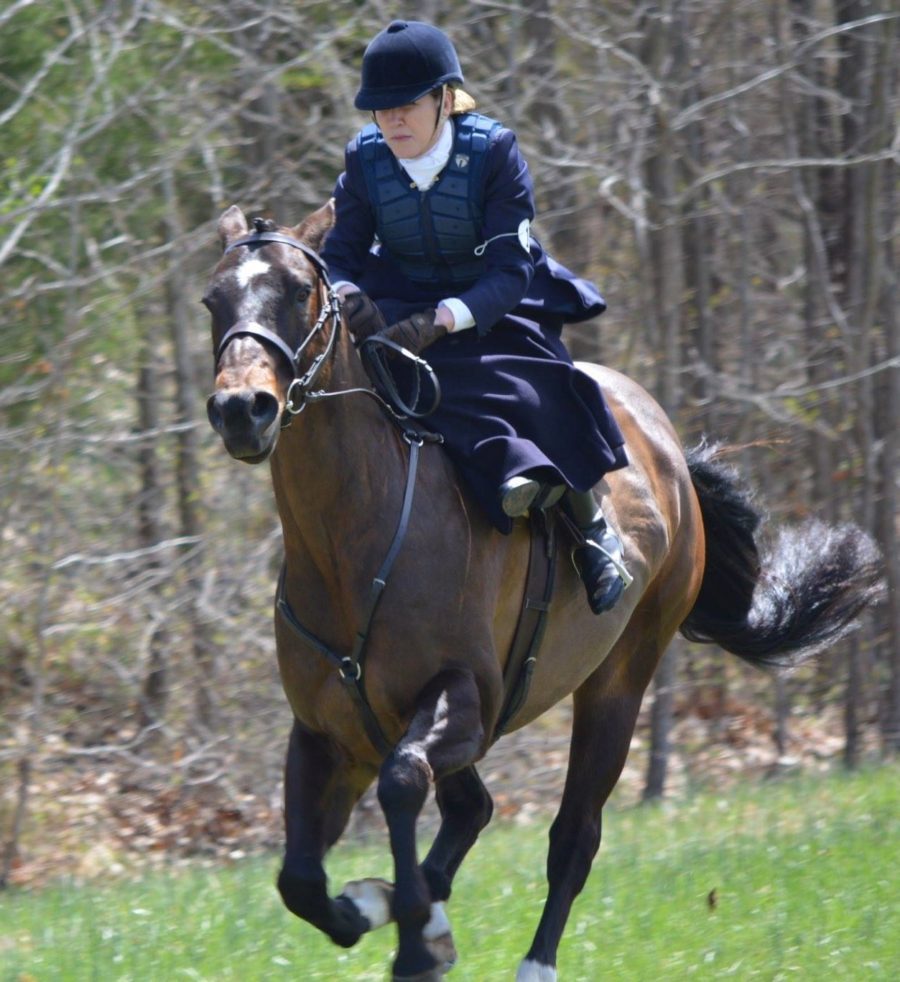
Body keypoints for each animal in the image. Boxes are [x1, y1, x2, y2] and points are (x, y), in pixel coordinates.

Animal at [202, 204, 880, 980]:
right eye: (213, 301)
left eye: (297, 292)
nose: (242, 409)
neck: (351, 544)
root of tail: (671, 452)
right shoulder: (327, 734)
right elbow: (301, 881)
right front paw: (388, 912)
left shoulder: (464, 699)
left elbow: (402, 782)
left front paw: (414, 936)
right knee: (473, 809)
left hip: (620, 680)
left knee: (574, 834)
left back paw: (530, 958)